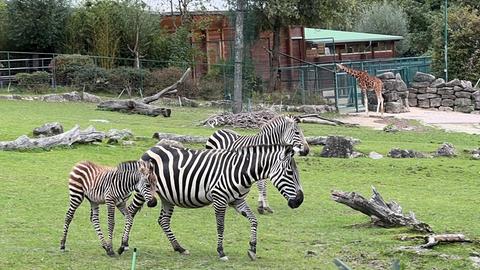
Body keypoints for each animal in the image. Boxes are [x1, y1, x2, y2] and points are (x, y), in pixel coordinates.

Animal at [122, 144, 302, 260]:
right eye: (289, 172)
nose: (299, 201)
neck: (241, 171)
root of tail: (152, 149)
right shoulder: (219, 199)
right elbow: (220, 226)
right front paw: (221, 252)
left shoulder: (237, 200)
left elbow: (254, 220)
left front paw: (252, 248)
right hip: (142, 191)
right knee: (130, 212)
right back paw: (123, 244)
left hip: (167, 196)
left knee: (163, 220)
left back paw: (179, 248)